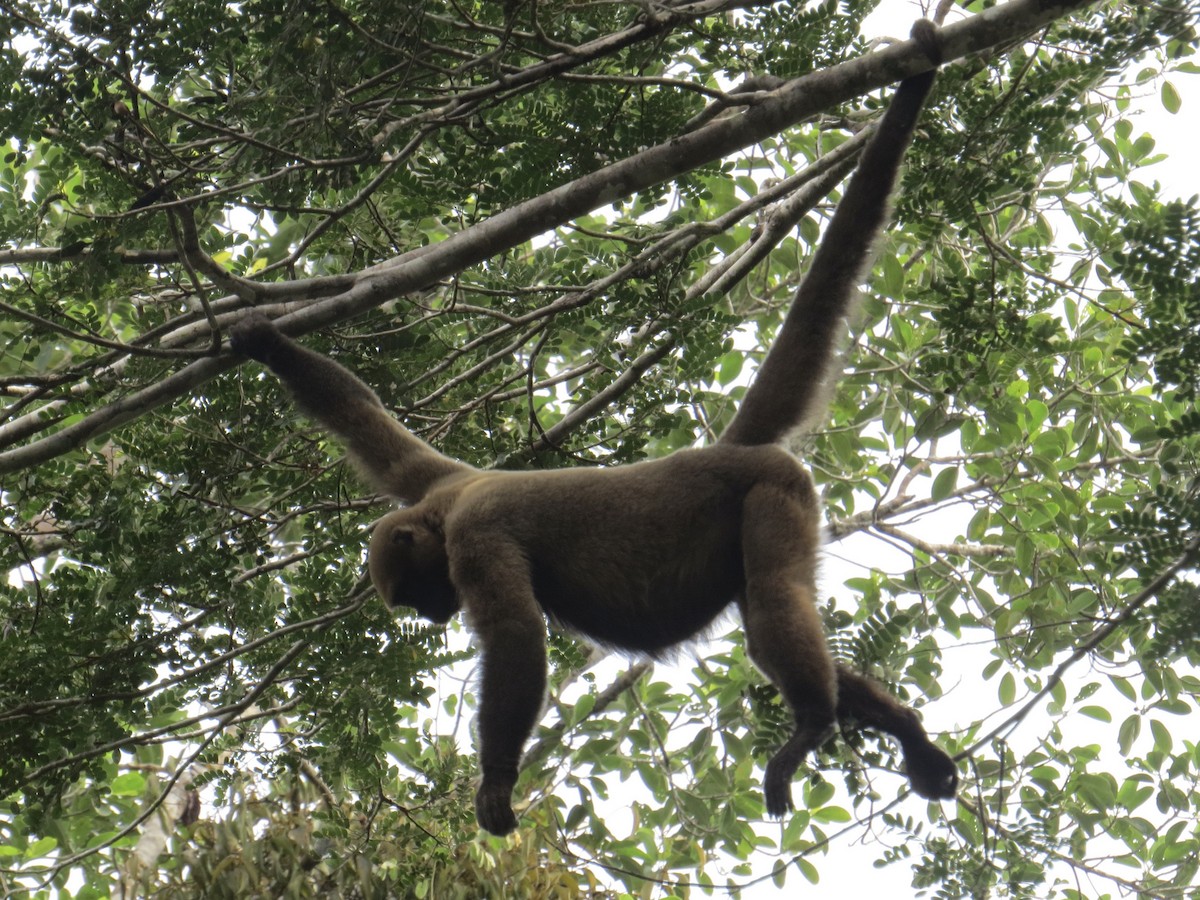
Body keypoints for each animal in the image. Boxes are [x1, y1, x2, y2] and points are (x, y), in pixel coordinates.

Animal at [228, 22, 957, 836]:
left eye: (416, 594)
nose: (432, 616)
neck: (445, 511)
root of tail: (727, 451)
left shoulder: (476, 534)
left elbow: (518, 640)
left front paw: (494, 784)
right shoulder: (430, 476)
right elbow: (361, 418)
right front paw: (262, 342)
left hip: (775, 493)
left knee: (772, 599)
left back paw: (811, 725)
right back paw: (908, 735)